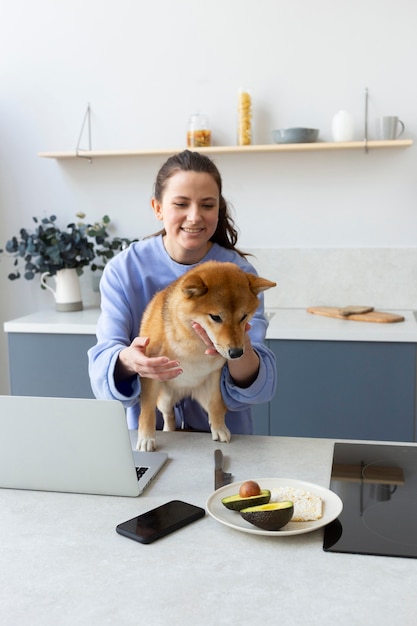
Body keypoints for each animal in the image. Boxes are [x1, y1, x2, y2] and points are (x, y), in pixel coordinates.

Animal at [135, 258, 276, 448]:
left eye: (243, 317)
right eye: (216, 317)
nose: (236, 353)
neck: (195, 344)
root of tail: (186, 391)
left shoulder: (215, 375)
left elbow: (215, 405)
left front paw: (219, 429)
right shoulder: (150, 371)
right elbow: (147, 411)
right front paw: (146, 438)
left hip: (204, 396)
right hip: (165, 398)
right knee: (168, 414)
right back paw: (168, 429)